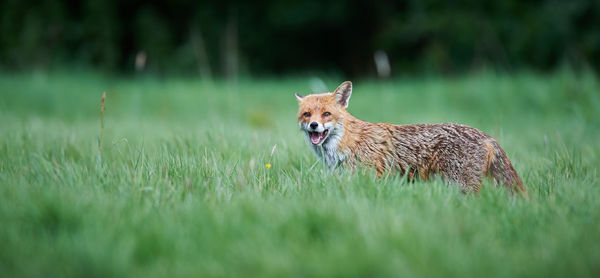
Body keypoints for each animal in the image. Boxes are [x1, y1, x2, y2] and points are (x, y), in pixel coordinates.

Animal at [296, 80, 524, 193]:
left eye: (326, 114)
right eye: (307, 114)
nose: (314, 125)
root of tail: (485, 135)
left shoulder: (369, 177)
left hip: (461, 186)